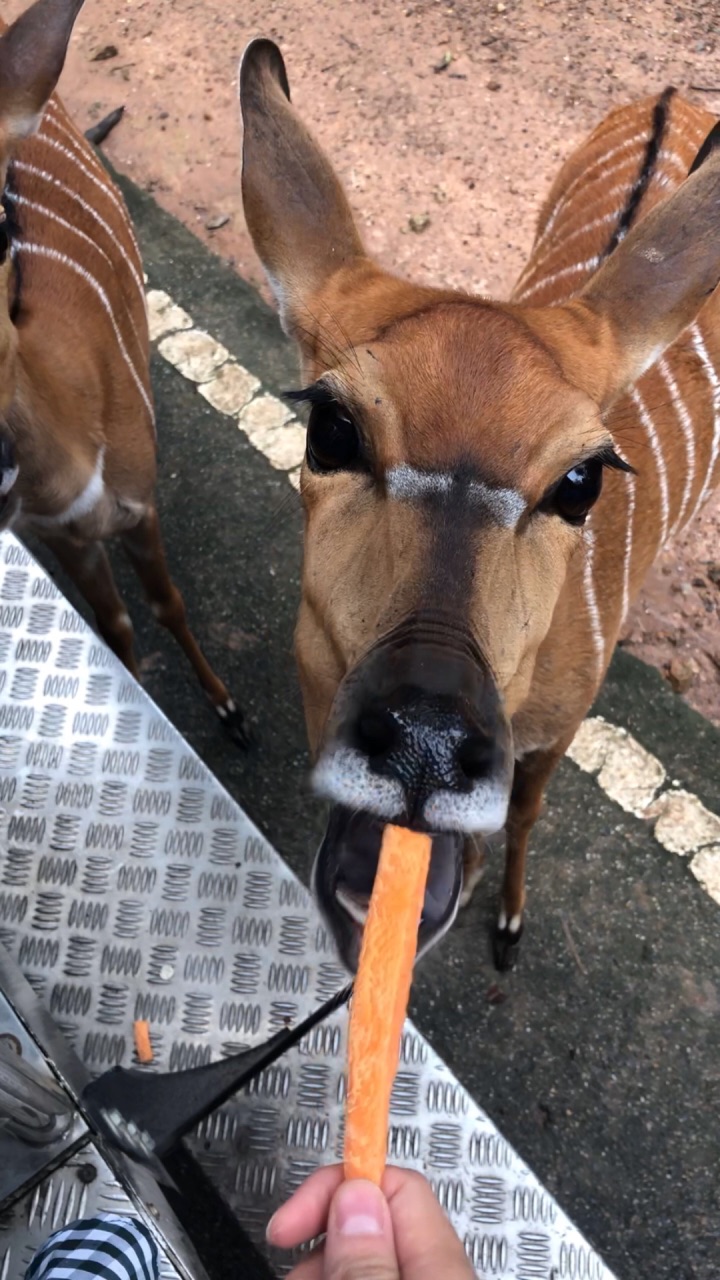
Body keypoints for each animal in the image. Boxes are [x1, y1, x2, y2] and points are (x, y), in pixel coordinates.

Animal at [239, 41, 720, 973]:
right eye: (332, 428)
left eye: (583, 480)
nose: (424, 744)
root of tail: (674, 96)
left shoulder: (558, 730)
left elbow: (527, 814)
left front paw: (508, 927)